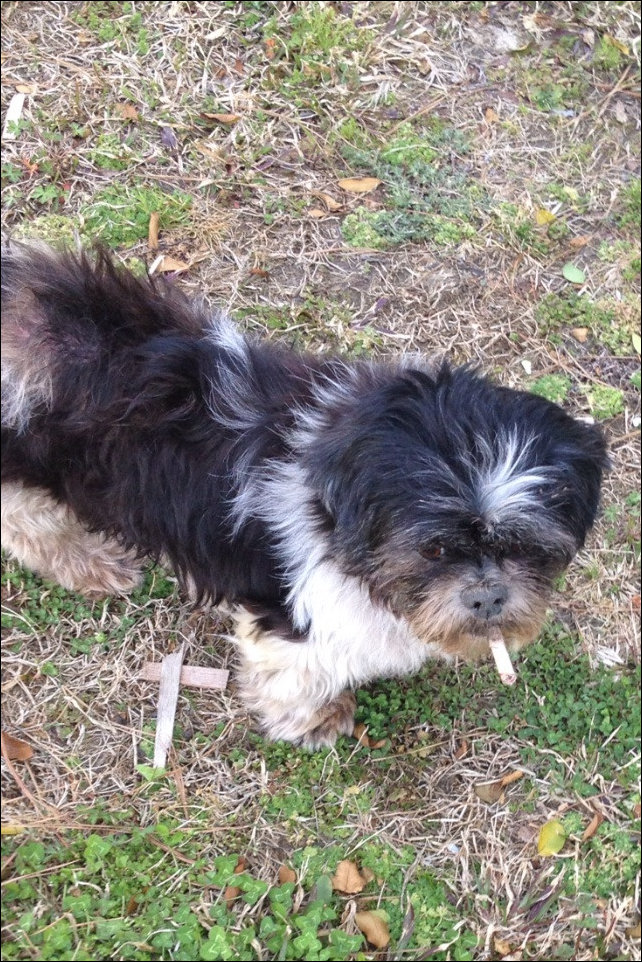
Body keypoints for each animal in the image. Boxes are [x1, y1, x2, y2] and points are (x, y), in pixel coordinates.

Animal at [1, 244, 608, 747]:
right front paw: (316, 720)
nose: (487, 597)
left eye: (526, 549)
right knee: (26, 523)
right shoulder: (296, 615)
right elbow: (296, 672)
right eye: (433, 550)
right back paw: (88, 563)